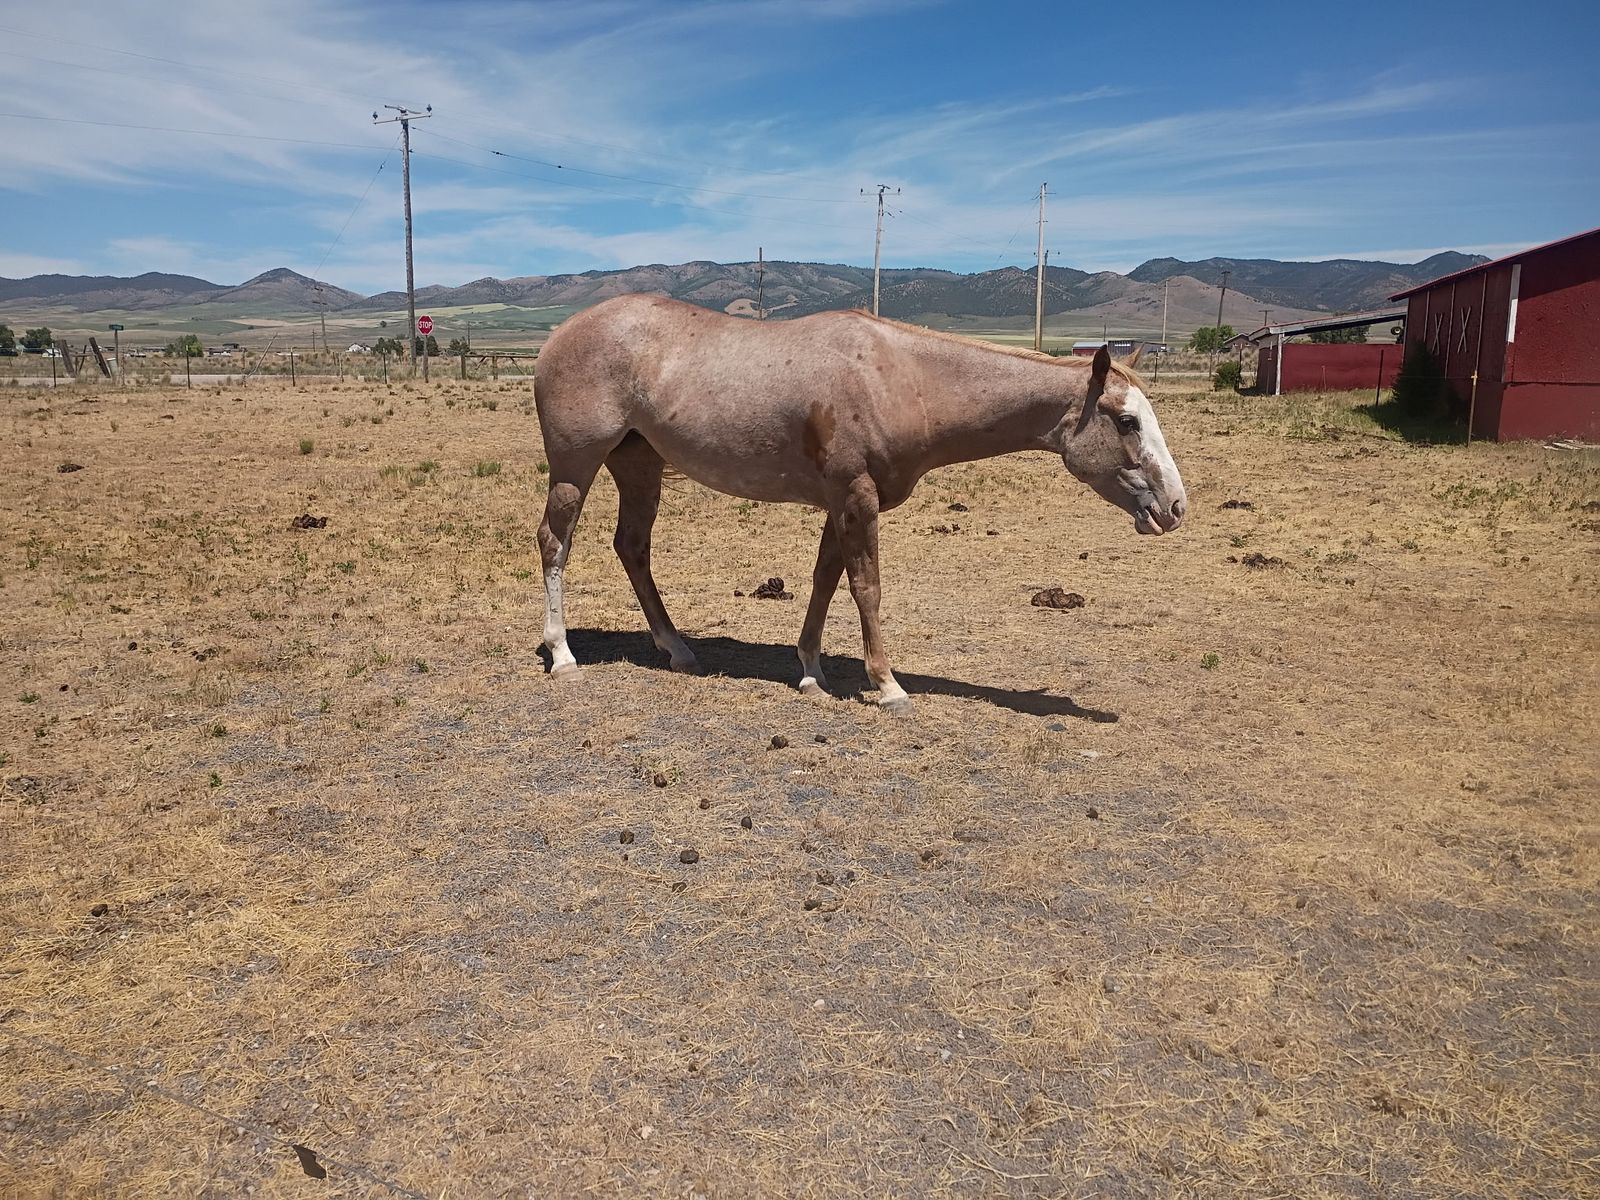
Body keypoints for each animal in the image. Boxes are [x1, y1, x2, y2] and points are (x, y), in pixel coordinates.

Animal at [533, 295, 1186, 714]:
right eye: (1126, 420)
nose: (1175, 506)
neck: (902, 378)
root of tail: (559, 334)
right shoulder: (856, 496)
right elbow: (865, 586)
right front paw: (888, 685)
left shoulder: (839, 501)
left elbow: (825, 581)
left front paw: (811, 672)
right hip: (575, 467)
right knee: (555, 542)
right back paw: (562, 653)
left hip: (639, 465)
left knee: (632, 547)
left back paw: (676, 649)